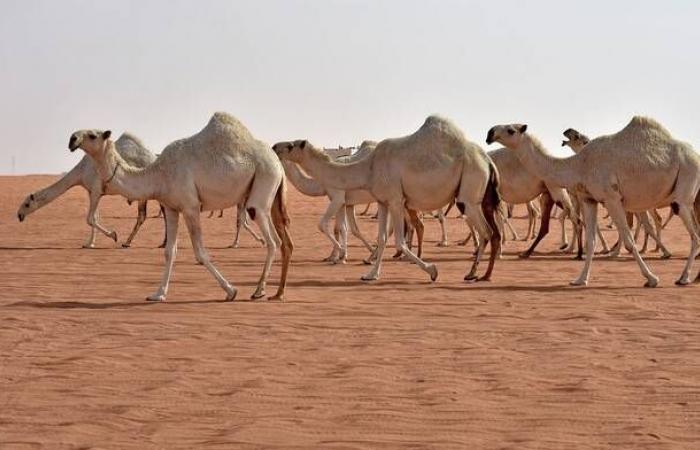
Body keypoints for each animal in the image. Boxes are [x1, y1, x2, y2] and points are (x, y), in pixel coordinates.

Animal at [17, 132, 165, 248]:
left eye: (26, 204)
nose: (19, 215)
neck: (81, 172)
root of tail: (154, 157)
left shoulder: (96, 189)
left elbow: (90, 218)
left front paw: (113, 235)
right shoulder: (92, 191)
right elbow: (95, 217)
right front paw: (90, 243)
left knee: (144, 216)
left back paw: (130, 242)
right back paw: (158, 243)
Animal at [69, 111, 292, 302]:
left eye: (92, 135)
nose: (72, 139)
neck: (159, 174)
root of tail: (278, 164)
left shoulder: (190, 206)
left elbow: (200, 252)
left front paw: (231, 290)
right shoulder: (171, 207)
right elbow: (170, 251)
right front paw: (158, 294)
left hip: (263, 181)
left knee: (271, 240)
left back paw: (258, 290)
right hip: (268, 194)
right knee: (280, 240)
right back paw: (268, 291)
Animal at [274, 116, 504, 282]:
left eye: (291, 145)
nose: (275, 146)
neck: (368, 168)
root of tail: (488, 161)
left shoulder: (392, 199)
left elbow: (398, 240)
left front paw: (432, 270)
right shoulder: (382, 201)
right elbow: (382, 237)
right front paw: (370, 274)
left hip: (469, 192)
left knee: (486, 231)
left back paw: (478, 274)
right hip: (480, 197)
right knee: (493, 232)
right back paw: (480, 272)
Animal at [560, 128, 668, 258]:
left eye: (577, 136)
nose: (567, 130)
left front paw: (602, 249)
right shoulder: (579, 198)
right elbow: (578, 220)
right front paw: (571, 248)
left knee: (649, 222)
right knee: (650, 221)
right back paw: (650, 248)